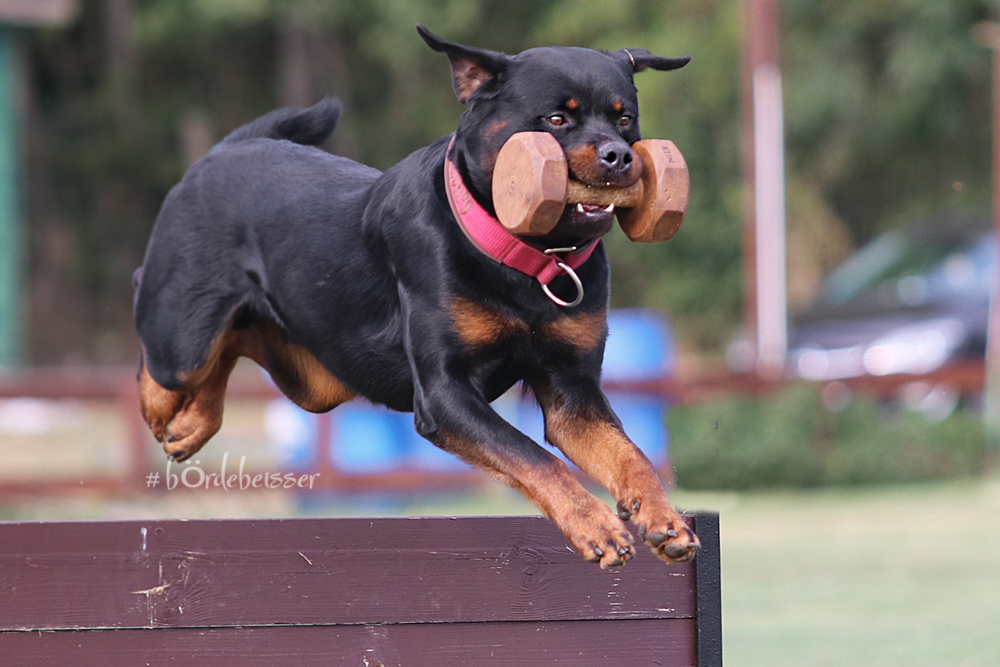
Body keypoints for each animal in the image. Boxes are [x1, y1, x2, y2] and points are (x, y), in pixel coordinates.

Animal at [133, 25, 698, 567]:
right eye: (557, 119)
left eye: (625, 120)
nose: (619, 156)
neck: (526, 255)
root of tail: (221, 151)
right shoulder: (444, 393)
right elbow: (535, 458)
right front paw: (595, 525)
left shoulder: (573, 394)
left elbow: (630, 455)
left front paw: (665, 519)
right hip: (183, 339)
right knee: (163, 347)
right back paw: (164, 409)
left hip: (314, 379)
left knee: (238, 344)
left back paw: (192, 423)